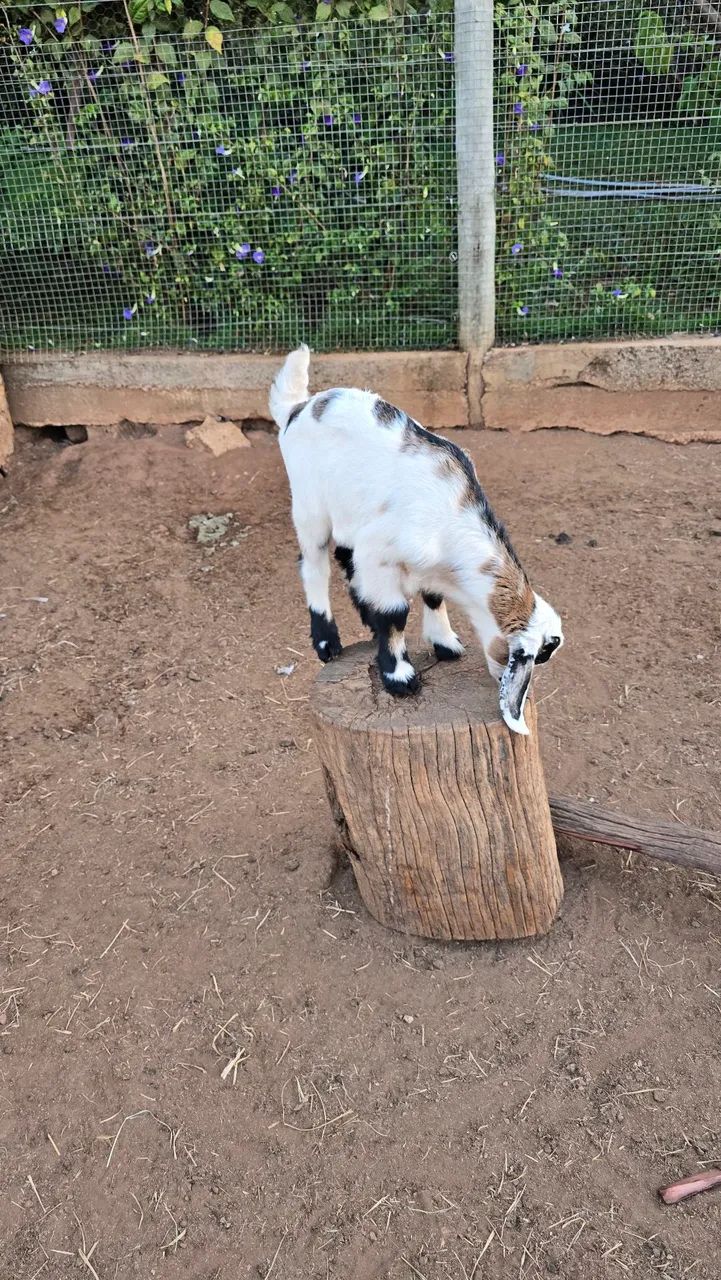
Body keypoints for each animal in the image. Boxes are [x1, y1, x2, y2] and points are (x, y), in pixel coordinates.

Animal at [270, 345, 563, 735]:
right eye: (538, 656)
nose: (505, 683)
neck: (452, 519)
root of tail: (298, 408)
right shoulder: (380, 553)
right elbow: (395, 613)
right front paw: (399, 676)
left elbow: (433, 595)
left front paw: (444, 642)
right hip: (309, 506)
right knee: (314, 565)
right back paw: (327, 640)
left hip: (352, 514)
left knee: (346, 558)